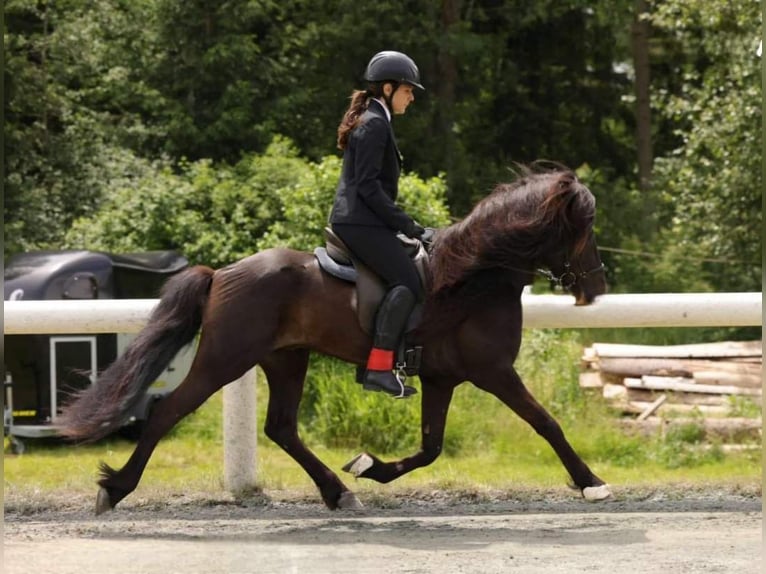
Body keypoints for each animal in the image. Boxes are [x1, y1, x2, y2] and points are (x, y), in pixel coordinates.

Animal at [58, 165, 612, 512]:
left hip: (285, 359)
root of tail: (221, 274)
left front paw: (370, 468)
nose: (598, 287)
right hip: (226, 359)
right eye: (584, 229)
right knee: (168, 412)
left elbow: (431, 448)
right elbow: (547, 423)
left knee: (282, 427)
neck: (476, 277)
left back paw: (338, 491)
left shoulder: (442, 379)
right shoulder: (493, 372)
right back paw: (116, 488)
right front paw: (592, 483)